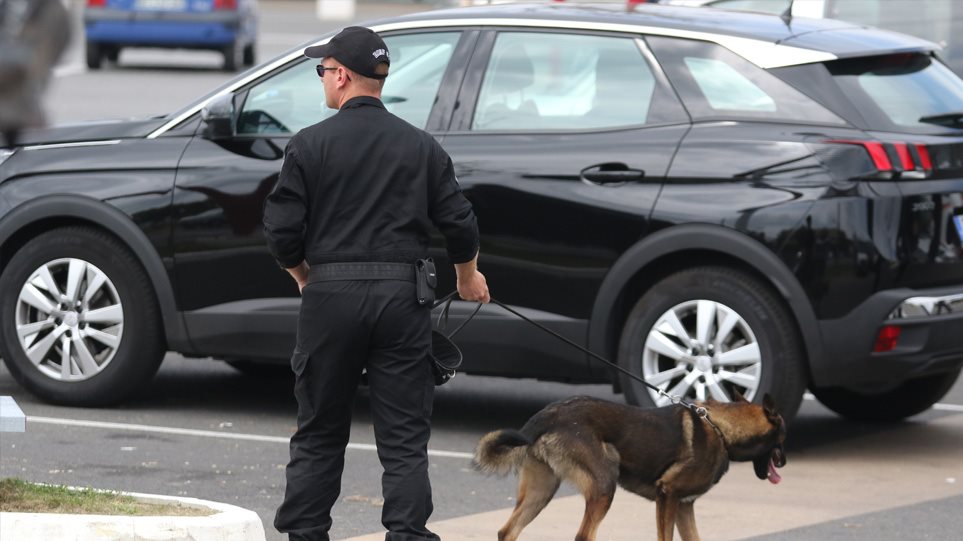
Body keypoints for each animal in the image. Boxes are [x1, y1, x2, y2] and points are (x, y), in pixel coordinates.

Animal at [472, 392, 784, 540]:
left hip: (541, 492)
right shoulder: (668, 497)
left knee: (507, 531)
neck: (720, 429)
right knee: (583, 536)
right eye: (783, 436)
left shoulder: (684, 507)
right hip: (604, 485)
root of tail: (547, 415)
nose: (783, 461)